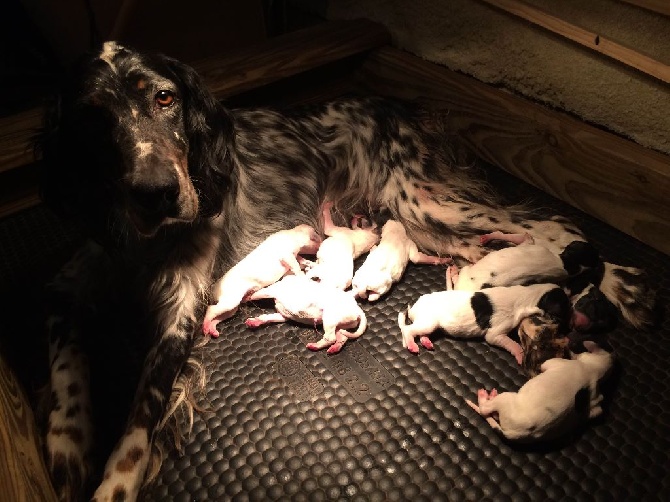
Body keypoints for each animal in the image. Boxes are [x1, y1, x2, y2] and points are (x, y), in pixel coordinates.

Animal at [400, 278, 572, 364]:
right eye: (565, 309)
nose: (570, 327)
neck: (529, 295)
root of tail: (414, 306)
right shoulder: (495, 335)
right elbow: (512, 344)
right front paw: (519, 354)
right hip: (428, 322)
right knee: (408, 330)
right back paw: (412, 345)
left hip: (429, 325)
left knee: (420, 333)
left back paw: (426, 342)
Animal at [464, 340, 616, 442]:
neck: (594, 370)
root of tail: (512, 434)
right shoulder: (596, 404)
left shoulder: (552, 364)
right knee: (493, 414)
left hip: (507, 398)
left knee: (485, 410)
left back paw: (484, 396)